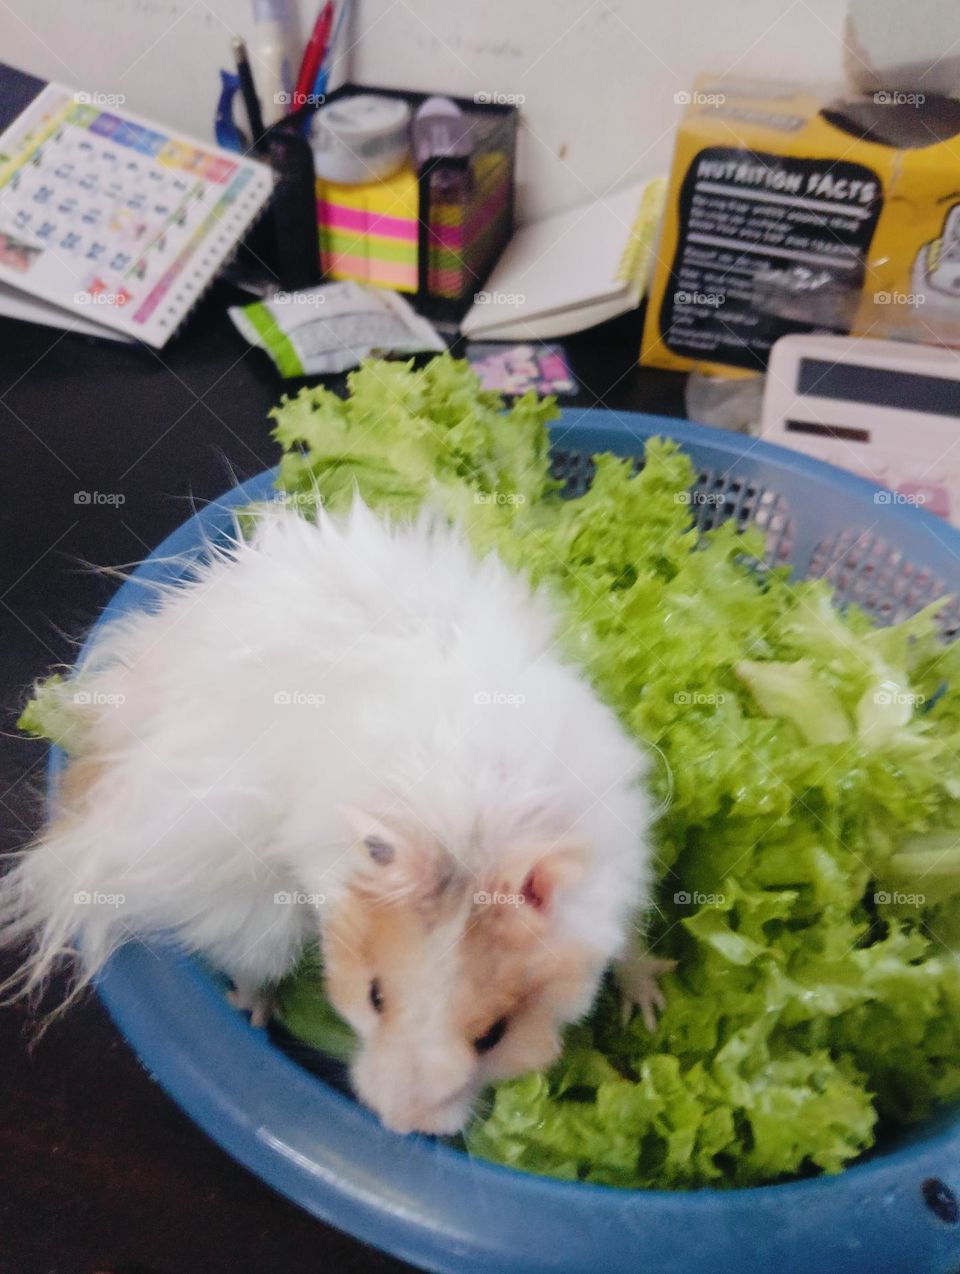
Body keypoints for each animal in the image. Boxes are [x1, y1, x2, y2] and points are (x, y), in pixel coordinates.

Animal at [1, 498, 657, 1135]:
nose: (399, 1125)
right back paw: (255, 1011)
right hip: (250, 912)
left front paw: (648, 1008)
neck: (471, 838)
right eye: (373, 996)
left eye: (494, 1035)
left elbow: (626, 948)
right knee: (245, 963)